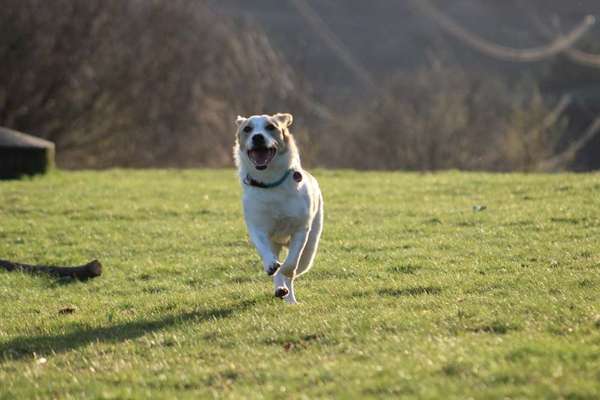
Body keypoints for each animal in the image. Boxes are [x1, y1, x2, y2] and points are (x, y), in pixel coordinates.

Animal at [233, 112, 324, 304]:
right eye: (247, 129)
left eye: (271, 127)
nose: (258, 137)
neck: (270, 182)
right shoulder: (257, 227)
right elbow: (266, 252)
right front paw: (271, 266)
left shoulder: (300, 229)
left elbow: (290, 265)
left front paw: (284, 272)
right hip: (275, 242)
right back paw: (280, 287)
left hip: (310, 249)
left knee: (296, 268)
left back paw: (289, 297)